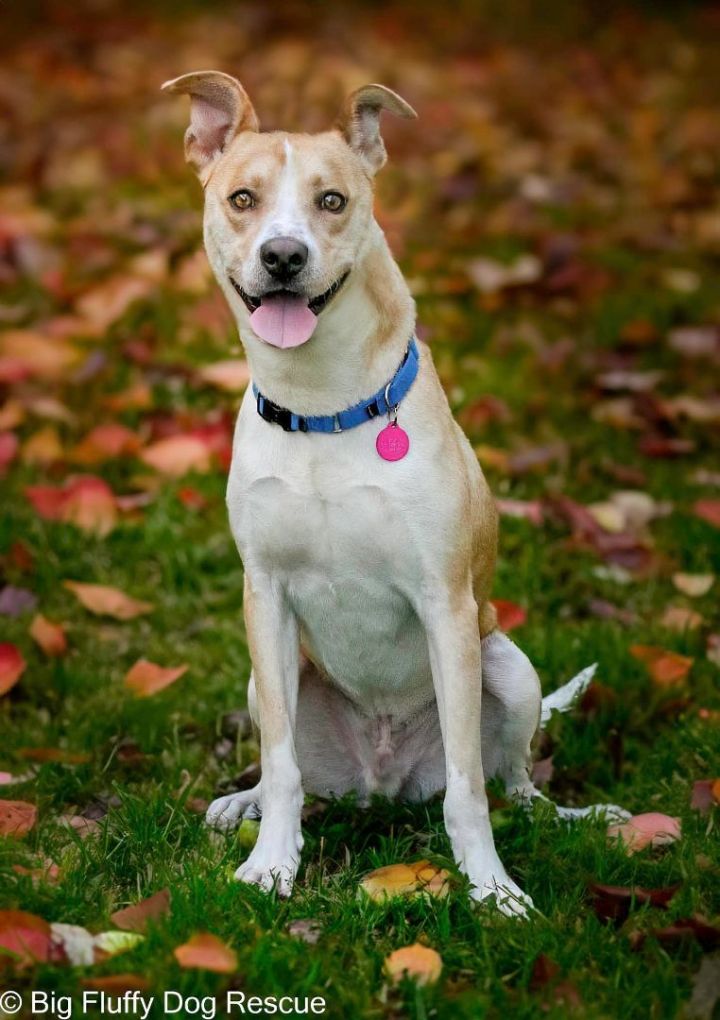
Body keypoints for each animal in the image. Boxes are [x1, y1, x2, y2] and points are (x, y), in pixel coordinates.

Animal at [163, 71, 624, 918]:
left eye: (333, 200)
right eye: (243, 198)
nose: (283, 255)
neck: (322, 403)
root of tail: (379, 785)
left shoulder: (444, 602)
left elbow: (470, 793)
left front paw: (493, 889)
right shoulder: (264, 596)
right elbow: (281, 762)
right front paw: (271, 863)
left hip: (507, 664)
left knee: (513, 782)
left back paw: (571, 816)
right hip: (266, 675)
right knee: (288, 767)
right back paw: (242, 804)